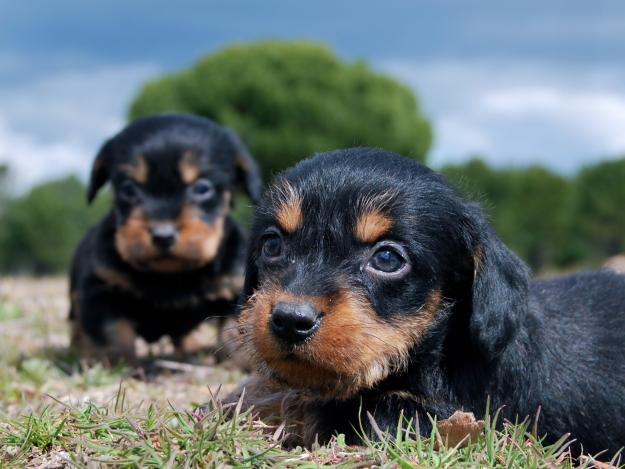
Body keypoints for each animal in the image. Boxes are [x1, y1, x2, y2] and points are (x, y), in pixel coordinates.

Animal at [69, 112, 260, 362]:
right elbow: (112, 333)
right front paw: (116, 362)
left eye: (202, 187)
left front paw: (242, 361)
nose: (163, 235)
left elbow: (234, 328)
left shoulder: (233, 285)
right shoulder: (101, 288)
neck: (170, 274)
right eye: (128, 188)